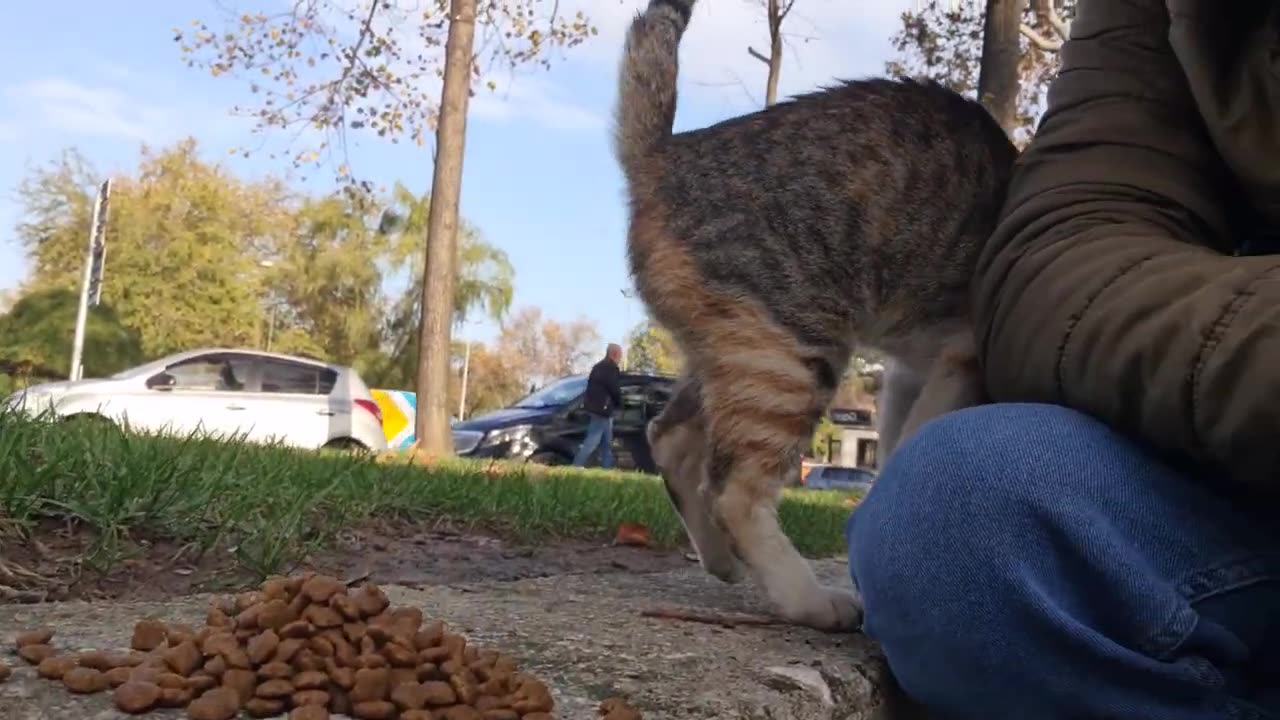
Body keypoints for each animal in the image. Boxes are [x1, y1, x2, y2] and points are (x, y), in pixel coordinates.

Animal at [614, 0, 1013, 627]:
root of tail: (665, 155)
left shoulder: (913, 371)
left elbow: (897, 442)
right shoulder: (962, 354)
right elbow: (914, 441)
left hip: (730, 349)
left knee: (669, 437)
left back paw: (720, 560)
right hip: (790, 349)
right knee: (732, 492)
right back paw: (808, 598)